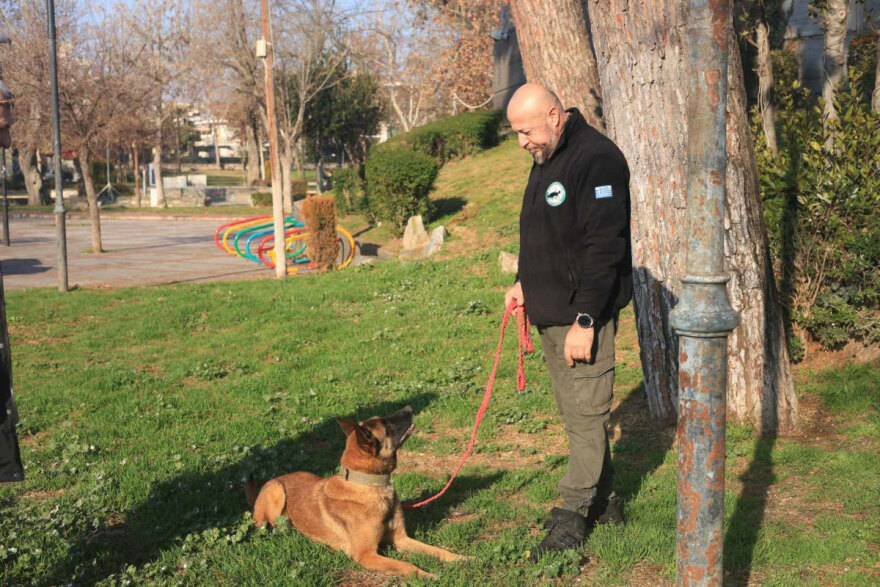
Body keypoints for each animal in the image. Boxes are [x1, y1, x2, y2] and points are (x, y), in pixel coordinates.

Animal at [248, 404, 468, 580]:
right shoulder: (366, 555)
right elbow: (406, 565)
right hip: (276, 492)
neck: (370, 485)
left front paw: (462, 558)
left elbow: (436, 550)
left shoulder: (401, 539)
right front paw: (428, 575)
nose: (409, 408)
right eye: (387, 424)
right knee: (265, 525)